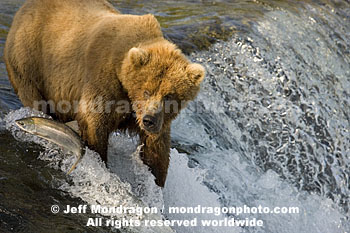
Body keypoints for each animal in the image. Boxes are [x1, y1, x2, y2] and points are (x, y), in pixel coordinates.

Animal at [3, 0, 205, 187]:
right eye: (147, 91)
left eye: (169, 96)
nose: (149, 120)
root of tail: (24, 9)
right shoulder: (104, 82)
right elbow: (94, 123)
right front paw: (101, 164)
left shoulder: (155, 119)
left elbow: (156, 149)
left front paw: (155, 181)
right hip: (30, 63)